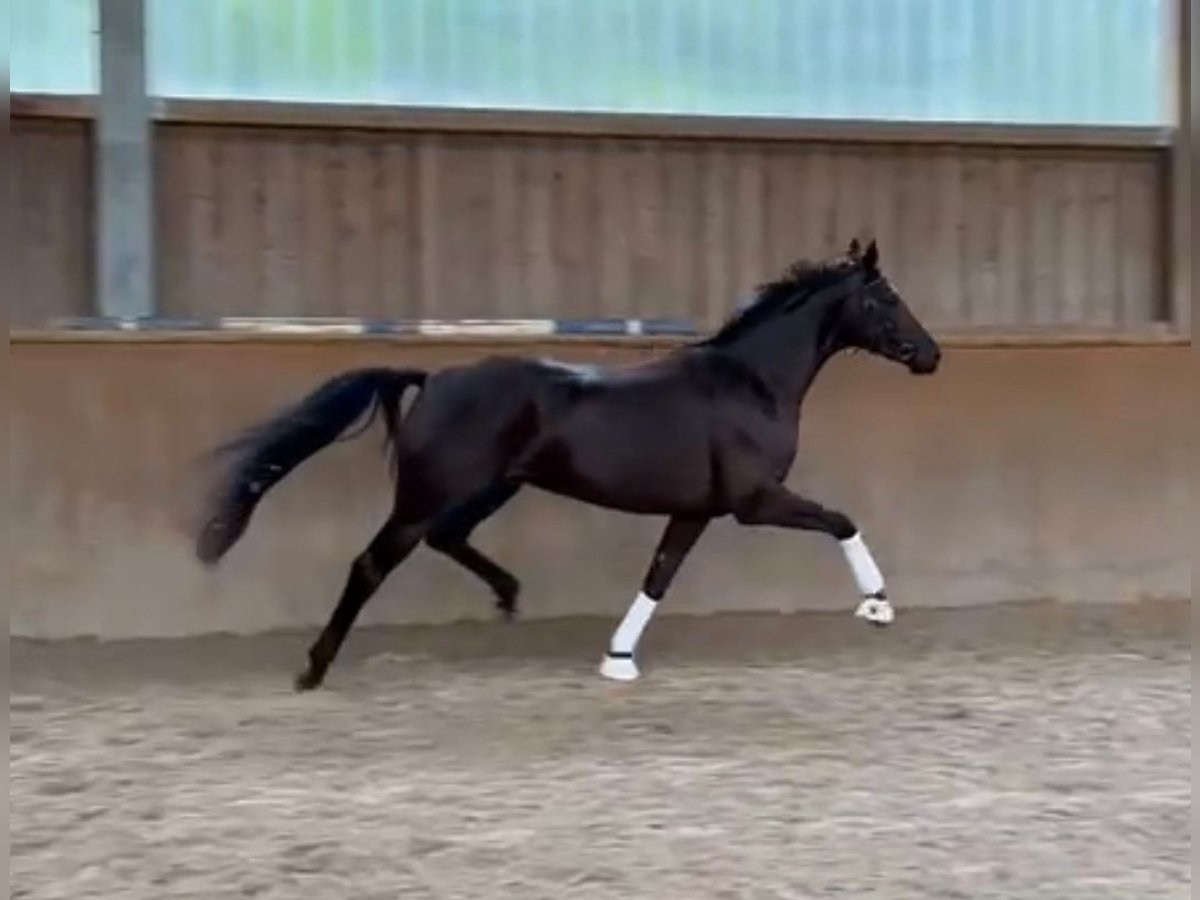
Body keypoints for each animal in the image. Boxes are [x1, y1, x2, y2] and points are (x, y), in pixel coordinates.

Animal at [201, 240, 940, 691]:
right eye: (885, 299)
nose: (931, 355)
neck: (751, 382)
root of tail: (433, 378)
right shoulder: (754, 500)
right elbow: (841, 519)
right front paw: (877, 605)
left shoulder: (695, 511)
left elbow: (659, 576)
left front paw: (618, 660)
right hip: (427, 494)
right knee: (371, 565)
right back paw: (313, 669)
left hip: (491, 487)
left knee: (448, 538)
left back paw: (508, 595)